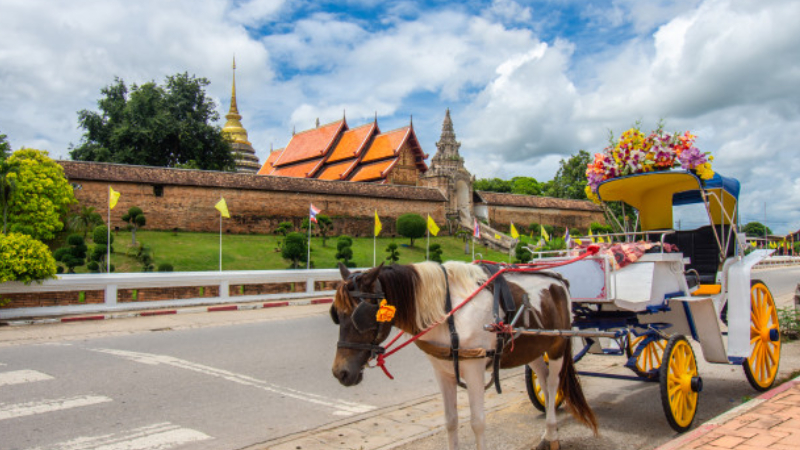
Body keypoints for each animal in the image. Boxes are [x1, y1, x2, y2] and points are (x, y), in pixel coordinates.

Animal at [328, 260, 596, 450]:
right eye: (337, 315)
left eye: (361, 316)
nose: (340, 372)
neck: (448, 313)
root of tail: (559, 279)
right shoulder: (442, 371)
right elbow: (450, 421)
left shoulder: (474, 370)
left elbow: (477, 422)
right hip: (533, 347)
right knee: (542, 378)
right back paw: (548, 432)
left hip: (558, 344)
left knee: (552, 384)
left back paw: (552, 434)